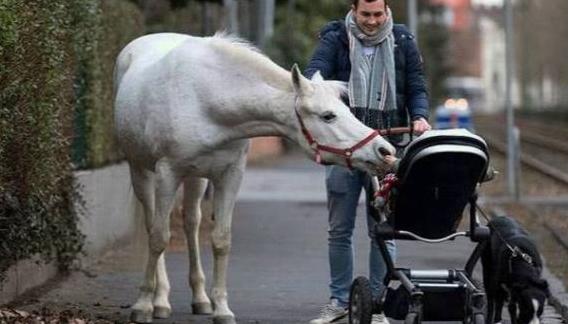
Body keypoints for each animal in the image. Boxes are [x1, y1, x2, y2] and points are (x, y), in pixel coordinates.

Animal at [112, 31, 392, 324]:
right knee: (153, 224)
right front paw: (143, 305)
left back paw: (200, 298)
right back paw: (160, 300)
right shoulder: (168, 173)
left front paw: (222, 309)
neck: (206, 100)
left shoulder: (230, 176)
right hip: (142, 171)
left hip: (196, 178)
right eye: (328, 116)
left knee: (191, 223)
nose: (384, 151)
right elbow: (159, 237)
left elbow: (221, 240)